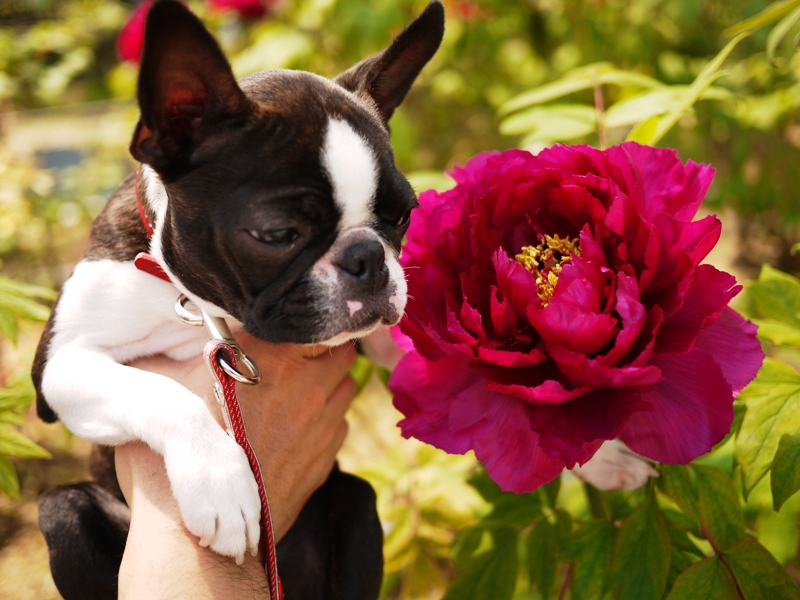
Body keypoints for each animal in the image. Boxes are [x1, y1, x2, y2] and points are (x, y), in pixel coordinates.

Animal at [32, 2, 444, 596]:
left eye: (402, 216)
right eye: (277, 234)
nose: (368, 258)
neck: (197, 307)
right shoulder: (59, 368)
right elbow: (162, 392)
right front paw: (220, 483)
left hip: (355, 502)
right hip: (62, 512)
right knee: (65, 509)